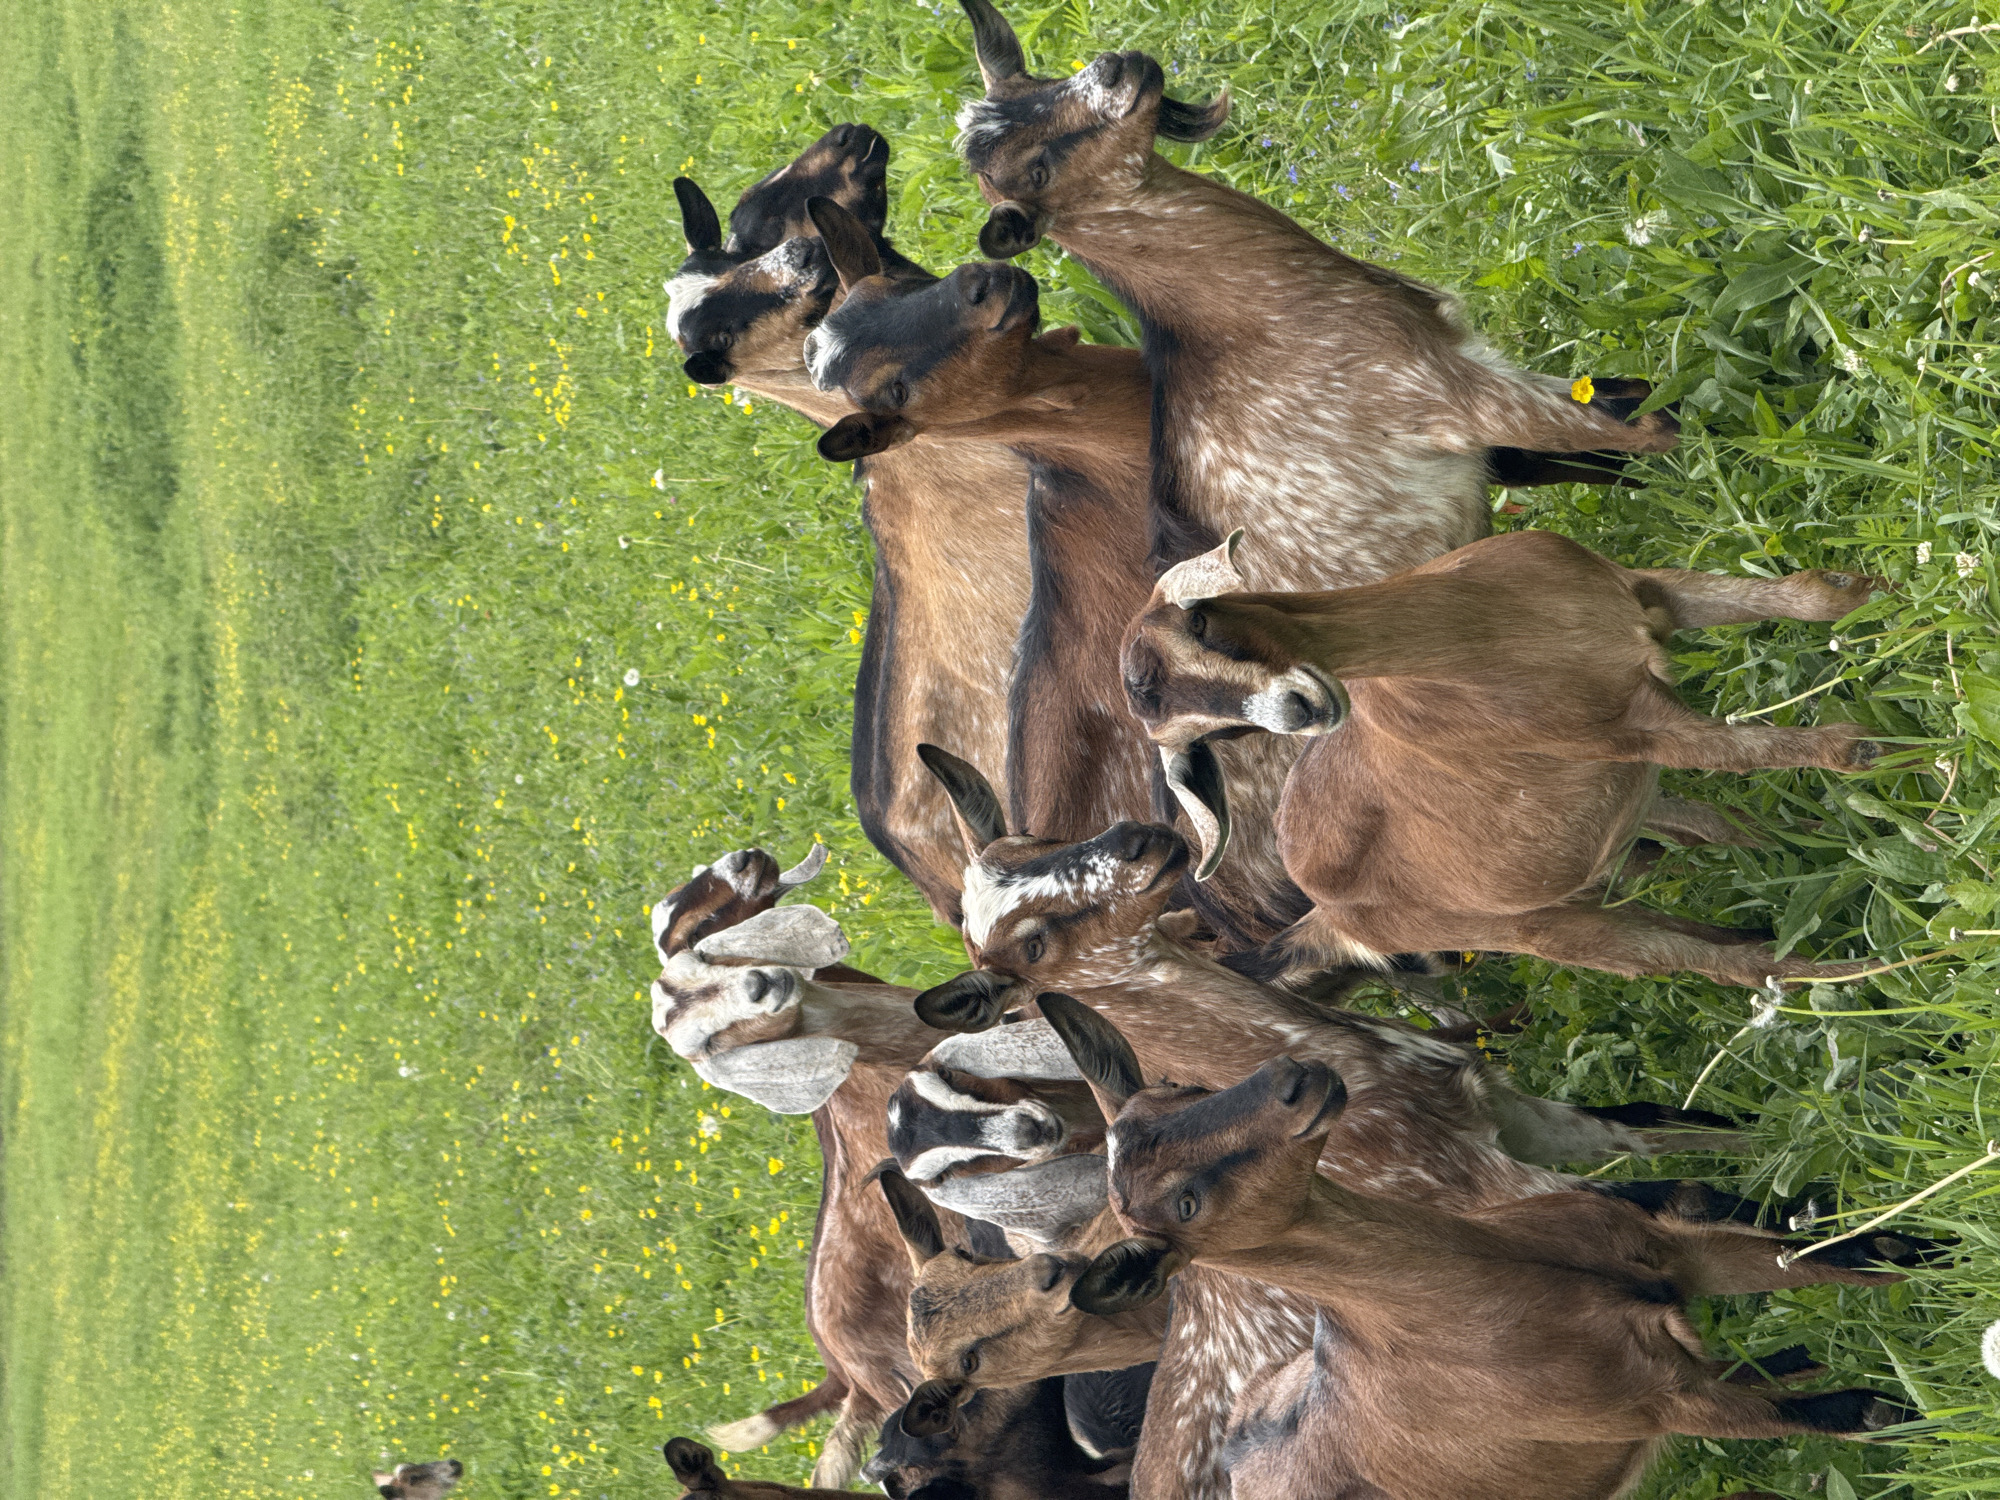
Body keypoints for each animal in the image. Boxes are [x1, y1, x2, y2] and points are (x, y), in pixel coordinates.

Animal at [948, 0, 1682, 949]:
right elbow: (1653, 431)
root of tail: (1210, 909)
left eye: (1038, 83)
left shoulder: (1486, 408)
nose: (1120, 67)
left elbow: (1610, 446)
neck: (1254, 317)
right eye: (1034, 166)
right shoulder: (1469, 400)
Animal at [1048, 995, 1923, 1500]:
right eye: (1184, 1203)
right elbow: (1855, 1412)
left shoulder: (1669, 1254)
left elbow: (1839, 1255)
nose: (1295, 1080)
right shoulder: (1657, 1405)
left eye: (1182, 1089)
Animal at [1120, 527, 1888, 987]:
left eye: (1200, 620)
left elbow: (1803, 598)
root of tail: (1326, 916)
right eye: (1214, 736)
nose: (1298, 710)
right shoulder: (1630, 730)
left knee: (1708, 835)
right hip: (1530, 929)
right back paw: (1863, 973)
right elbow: (1780, 751)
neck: (1484, 632)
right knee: (1705, 960)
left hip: (1610, 832)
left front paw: (1883, 592)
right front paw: (1887, 755)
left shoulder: (1643, 592)